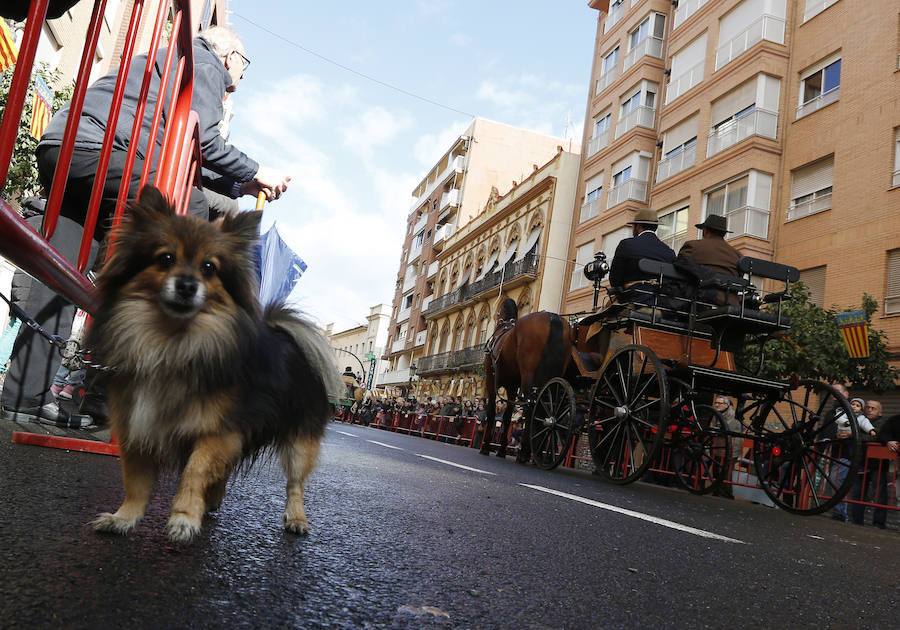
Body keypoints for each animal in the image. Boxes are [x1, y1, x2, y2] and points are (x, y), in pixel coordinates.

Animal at [89, 186, 342, 544]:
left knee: (295, 484)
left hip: (298, 442)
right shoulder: (136, 425)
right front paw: (124, 518)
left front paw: (183, 518)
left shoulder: (217, 430)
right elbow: (136, 482)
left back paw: (295, 518)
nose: (186, 285)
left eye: (209, 267)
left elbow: (195, 470)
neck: (171, 343)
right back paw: (213, 499)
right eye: (165, 259)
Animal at [482, 298, 572, 462]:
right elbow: (507, 416)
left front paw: (485, 446)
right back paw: (540, 452)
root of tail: (553, 318)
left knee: (532, 407)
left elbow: (491, 412)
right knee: (548, 408)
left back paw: (524, 452)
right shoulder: (512, 387)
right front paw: (502, 450)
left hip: (530, 378)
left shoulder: (491, 380)